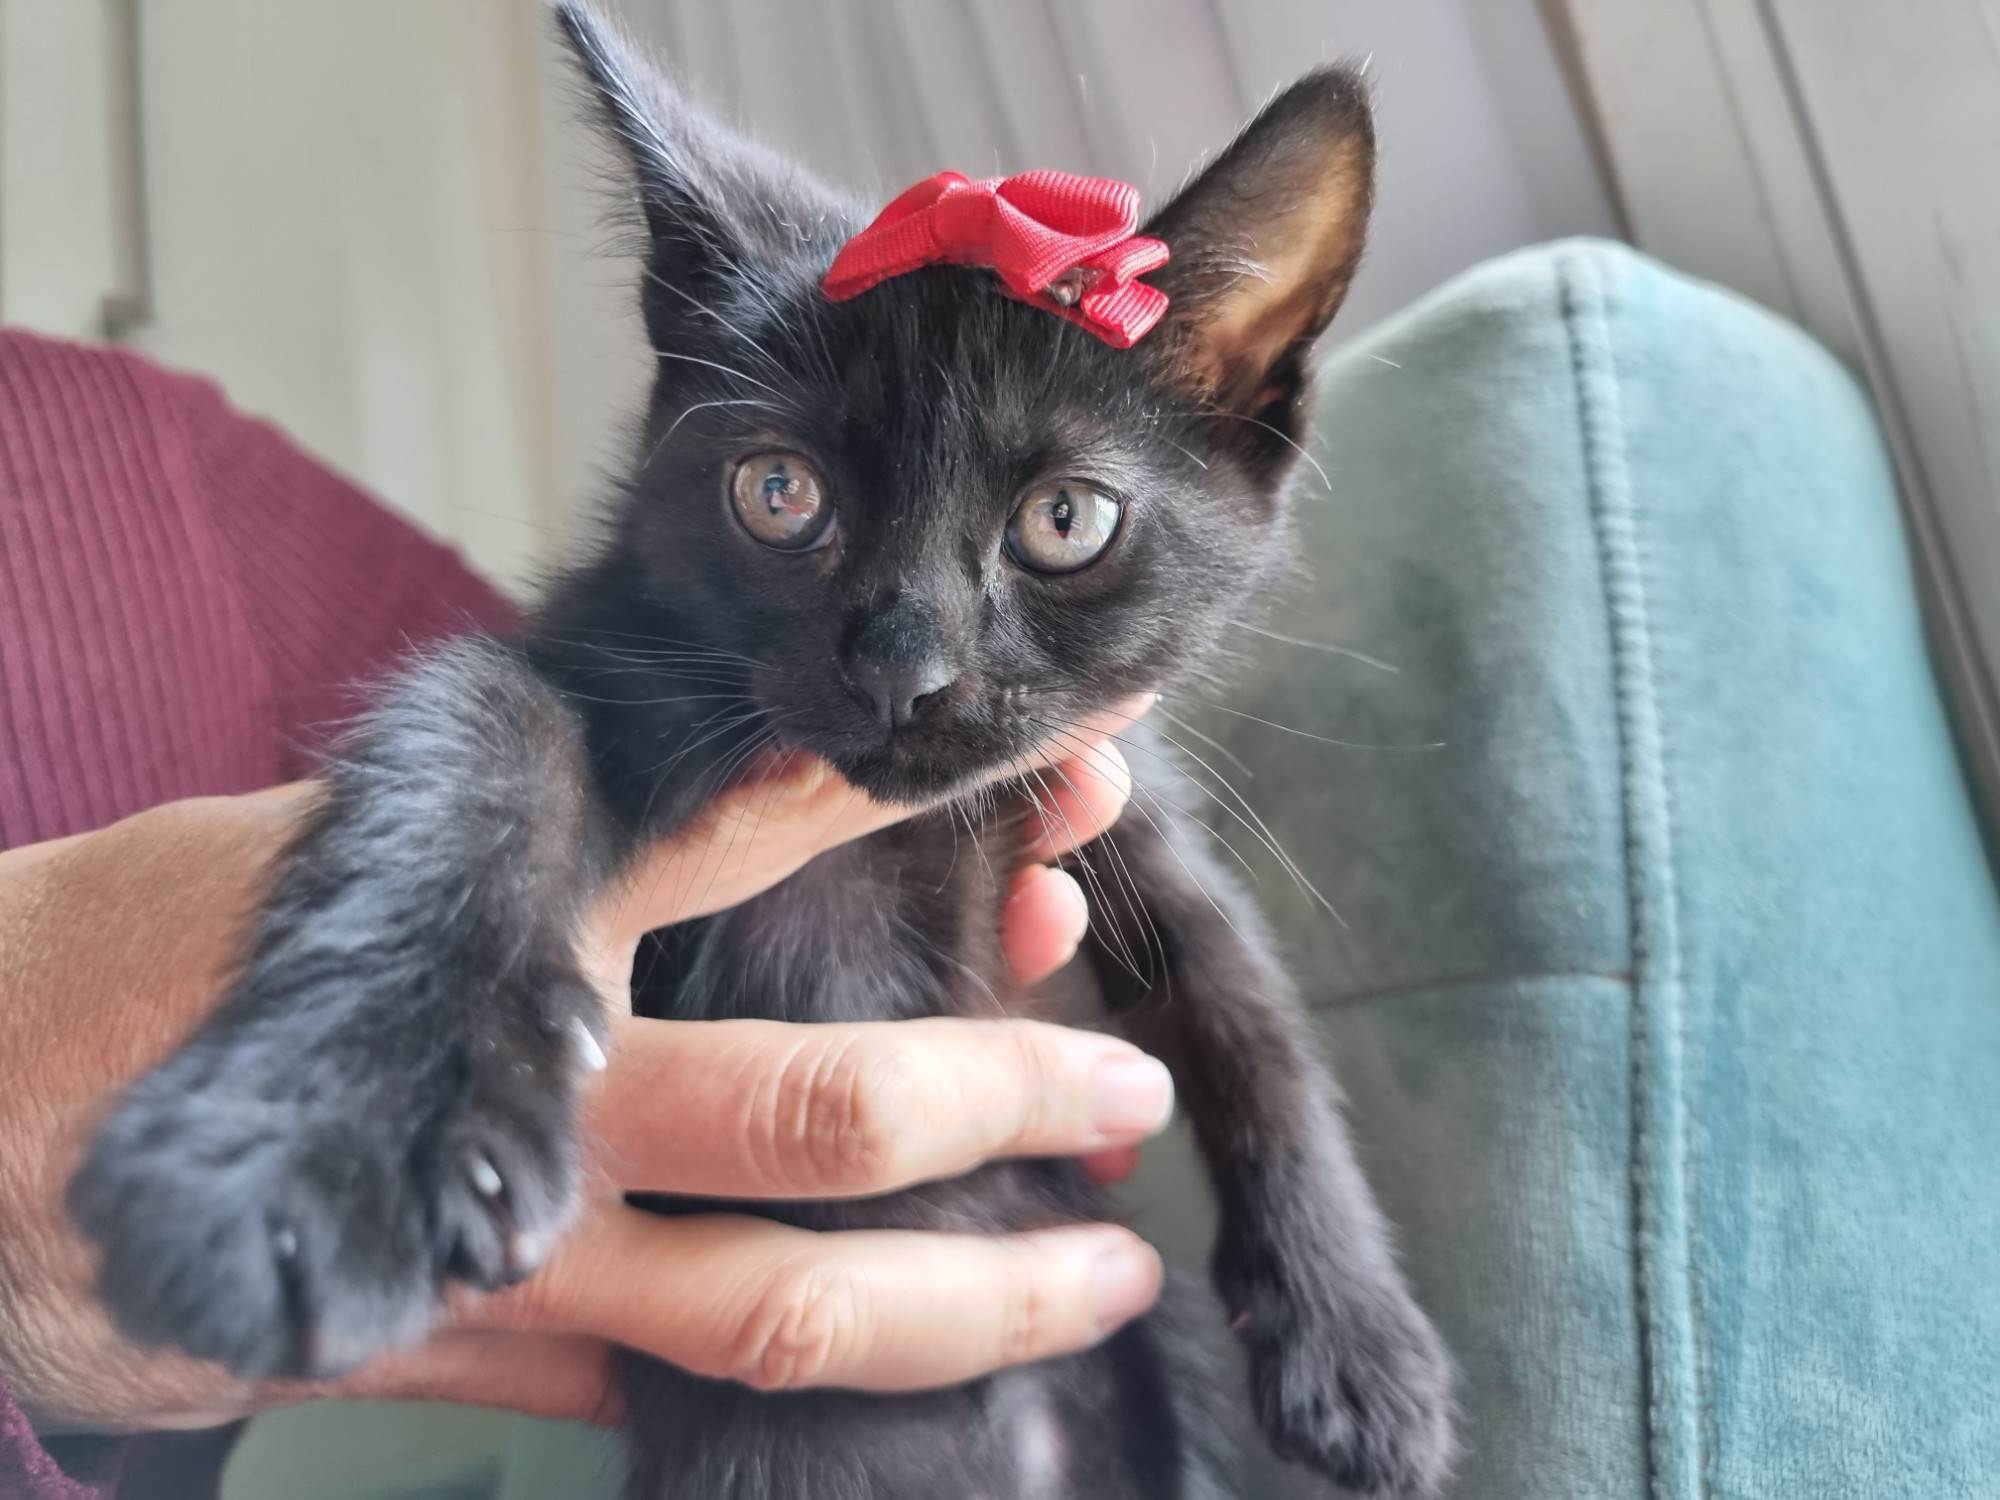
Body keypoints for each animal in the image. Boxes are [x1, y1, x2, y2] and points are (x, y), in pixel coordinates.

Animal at [68, 3, 1454, 1495]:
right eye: (779, 494)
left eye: (1066, 520)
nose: (905, 669)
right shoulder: (591, 659)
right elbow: (474, 744)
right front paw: (312, 1150)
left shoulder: (1110, 801)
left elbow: (1247, 1004)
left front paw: (1356, 1339)